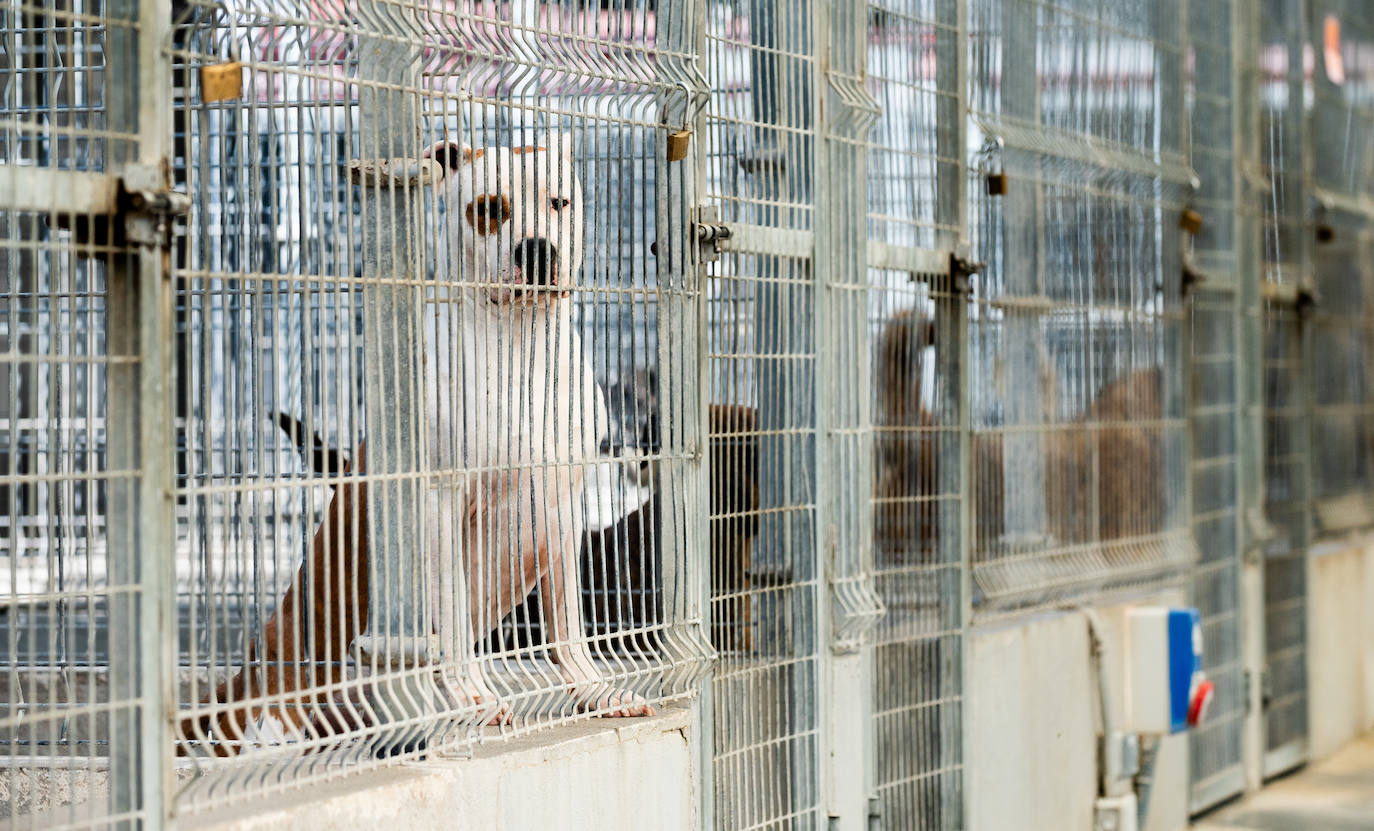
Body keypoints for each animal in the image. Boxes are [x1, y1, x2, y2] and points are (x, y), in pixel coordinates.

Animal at [179, 132, 651, 752]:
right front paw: (475, 698)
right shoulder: (439, 506)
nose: (536, 251)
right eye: (490, 208)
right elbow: (451, 621)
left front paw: (594, 691)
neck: (518, 344)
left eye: (559, 202)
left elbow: (568, 625)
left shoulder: (561, 510)